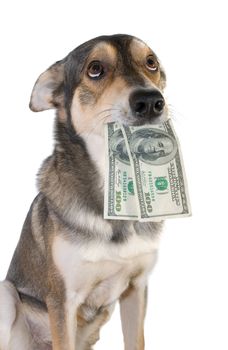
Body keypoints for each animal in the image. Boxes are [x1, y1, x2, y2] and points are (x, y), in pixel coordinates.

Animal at [0, 34, 167, 350]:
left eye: (151, 62)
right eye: (95, 69)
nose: (151, 102)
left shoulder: (137, 289)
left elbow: (135, 340)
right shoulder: (63, 300)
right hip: (6, 295)